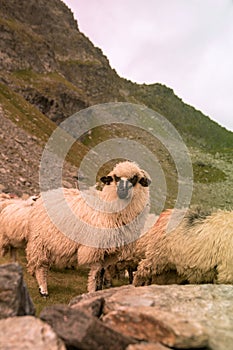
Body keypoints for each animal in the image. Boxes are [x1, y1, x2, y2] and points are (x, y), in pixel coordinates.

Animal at [26, 161, 151, 296]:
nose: (122, 191)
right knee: (41, 265)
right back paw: (43, 289)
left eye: (134, 178)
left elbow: (102, 272)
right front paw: (92, 291)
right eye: (116, 178)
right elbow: (95, 274)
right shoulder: (95, 249)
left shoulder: (108, 254)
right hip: (40, 239)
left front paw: (100, 291)